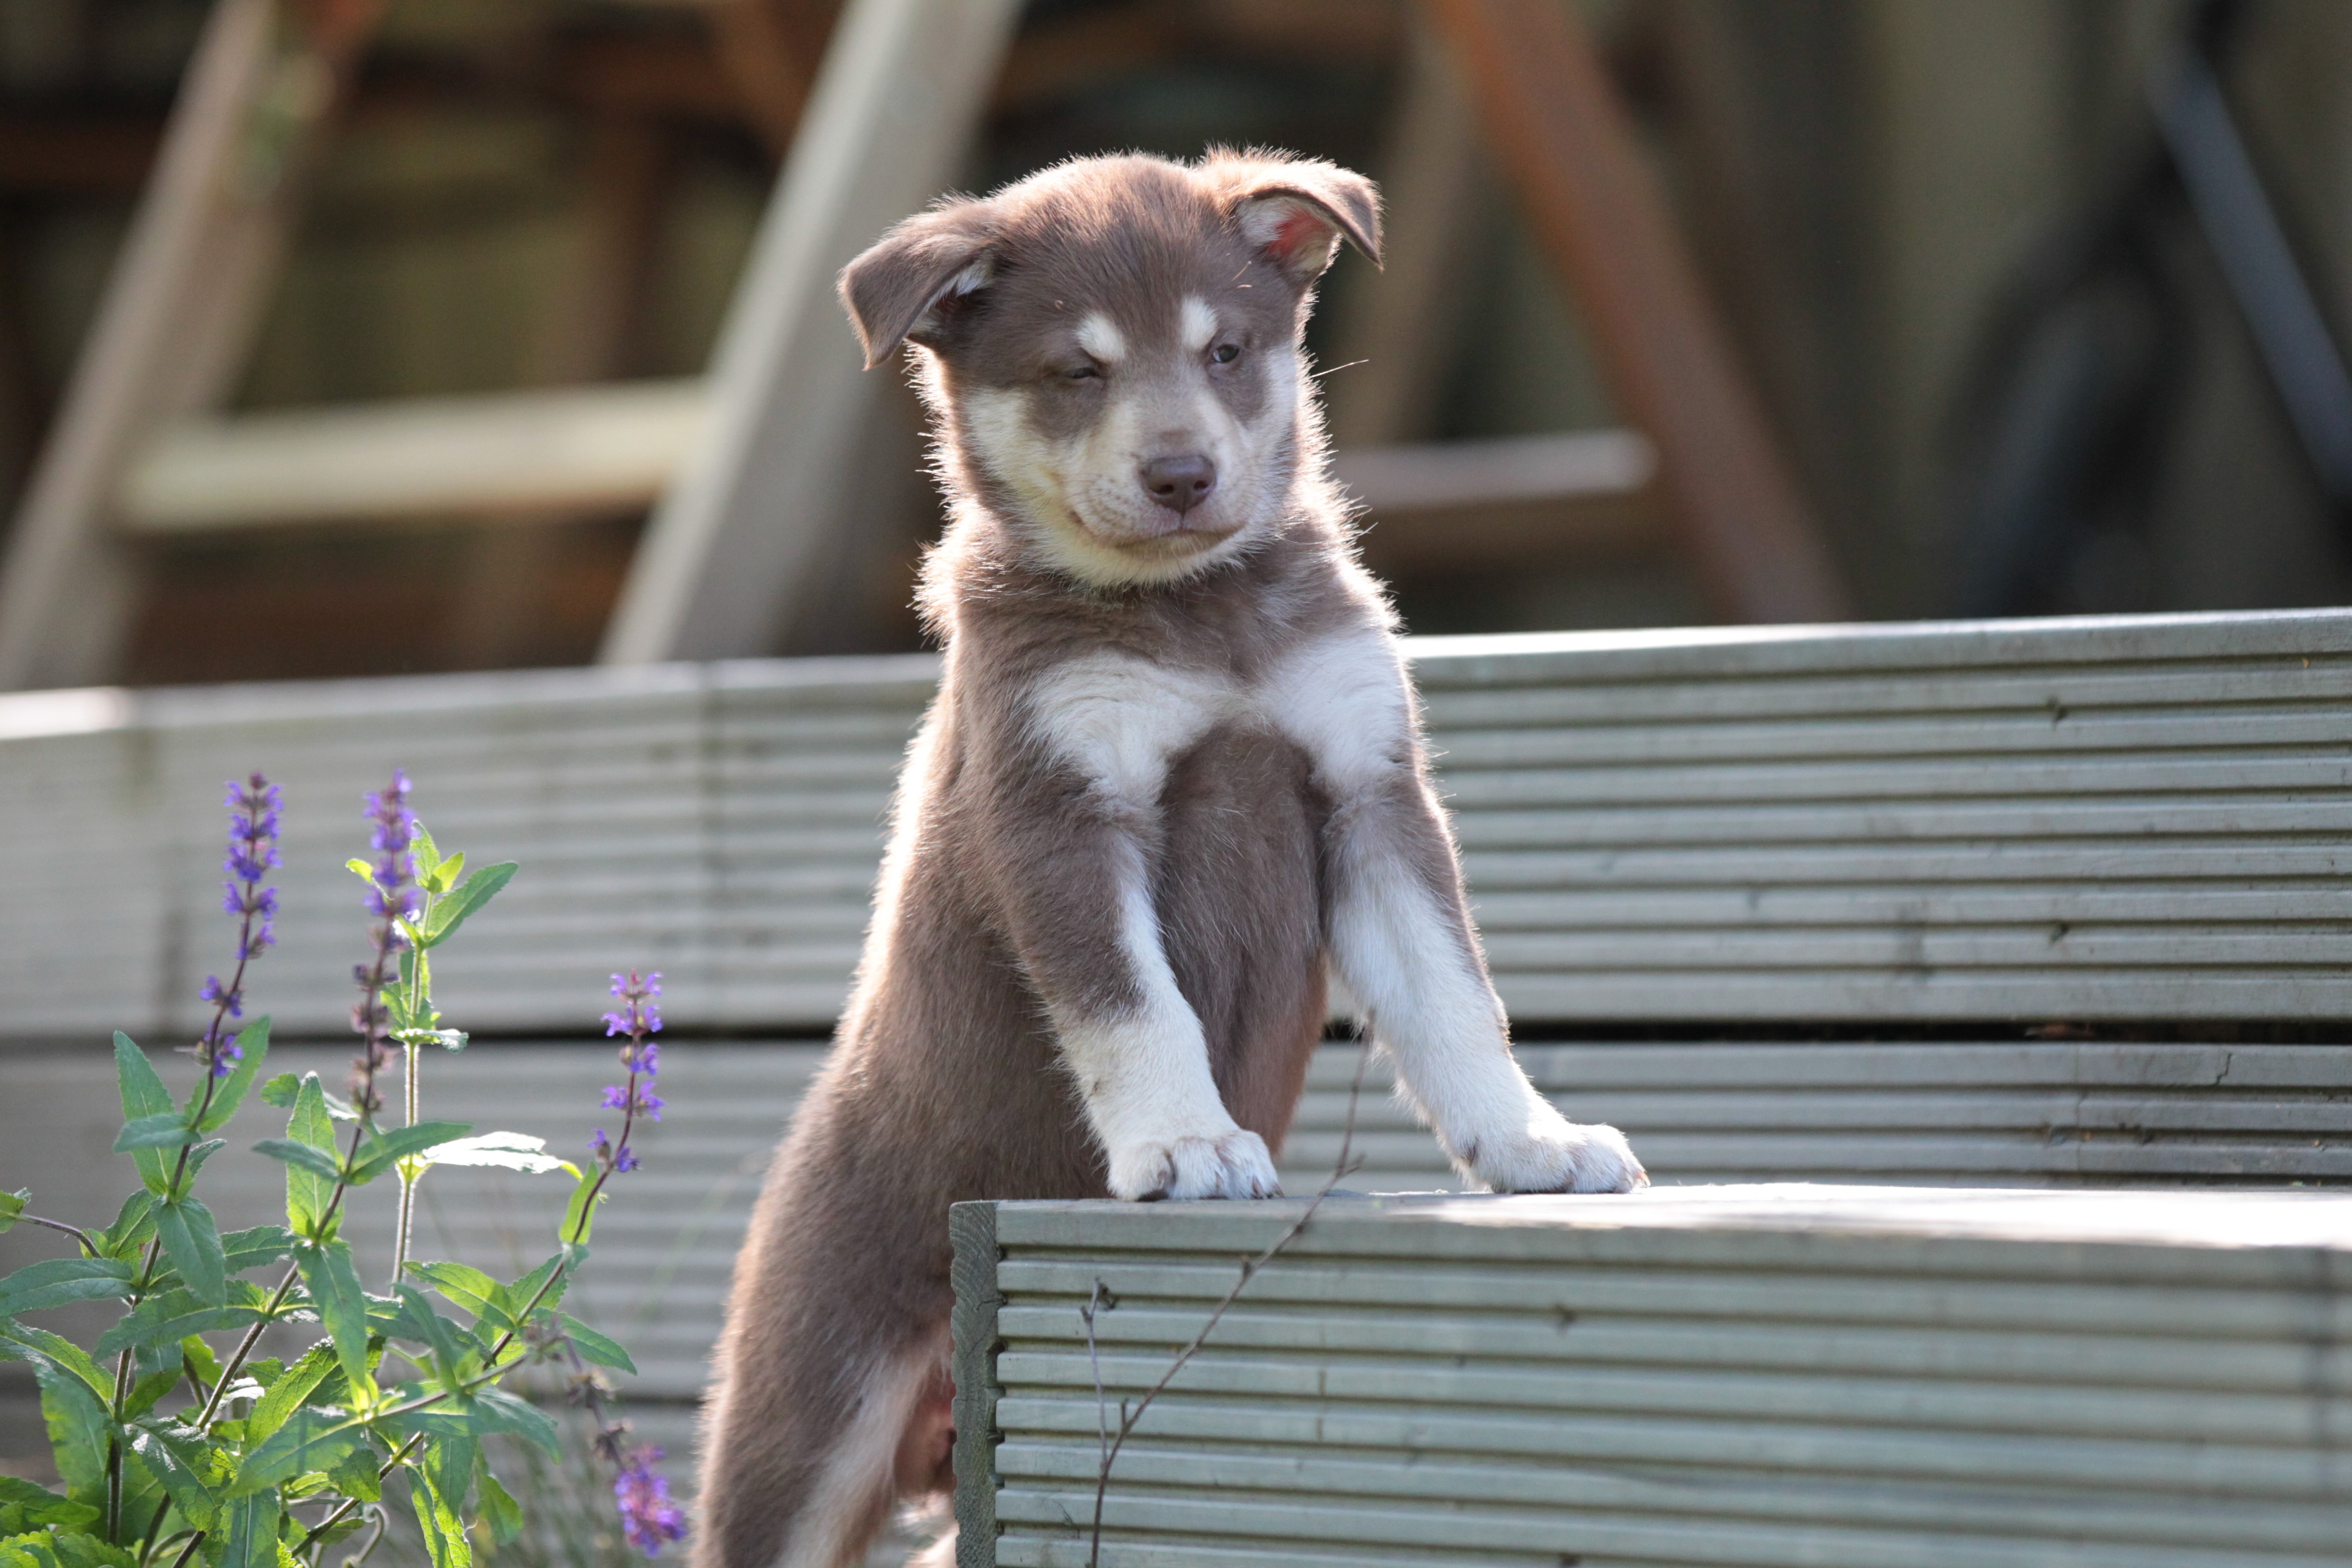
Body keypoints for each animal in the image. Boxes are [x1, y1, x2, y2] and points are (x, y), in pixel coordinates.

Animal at [691, 153, 1637, 1568]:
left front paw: (1531, 1143)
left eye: (1226, 351)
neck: (1197, 611)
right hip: (810, 1420)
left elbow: (1455, 1000)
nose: (1184, 472)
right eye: (1076, 372)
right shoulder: (1064, 815)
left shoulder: (1367, 795)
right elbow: (1134, 1011)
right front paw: (1188, 1144)